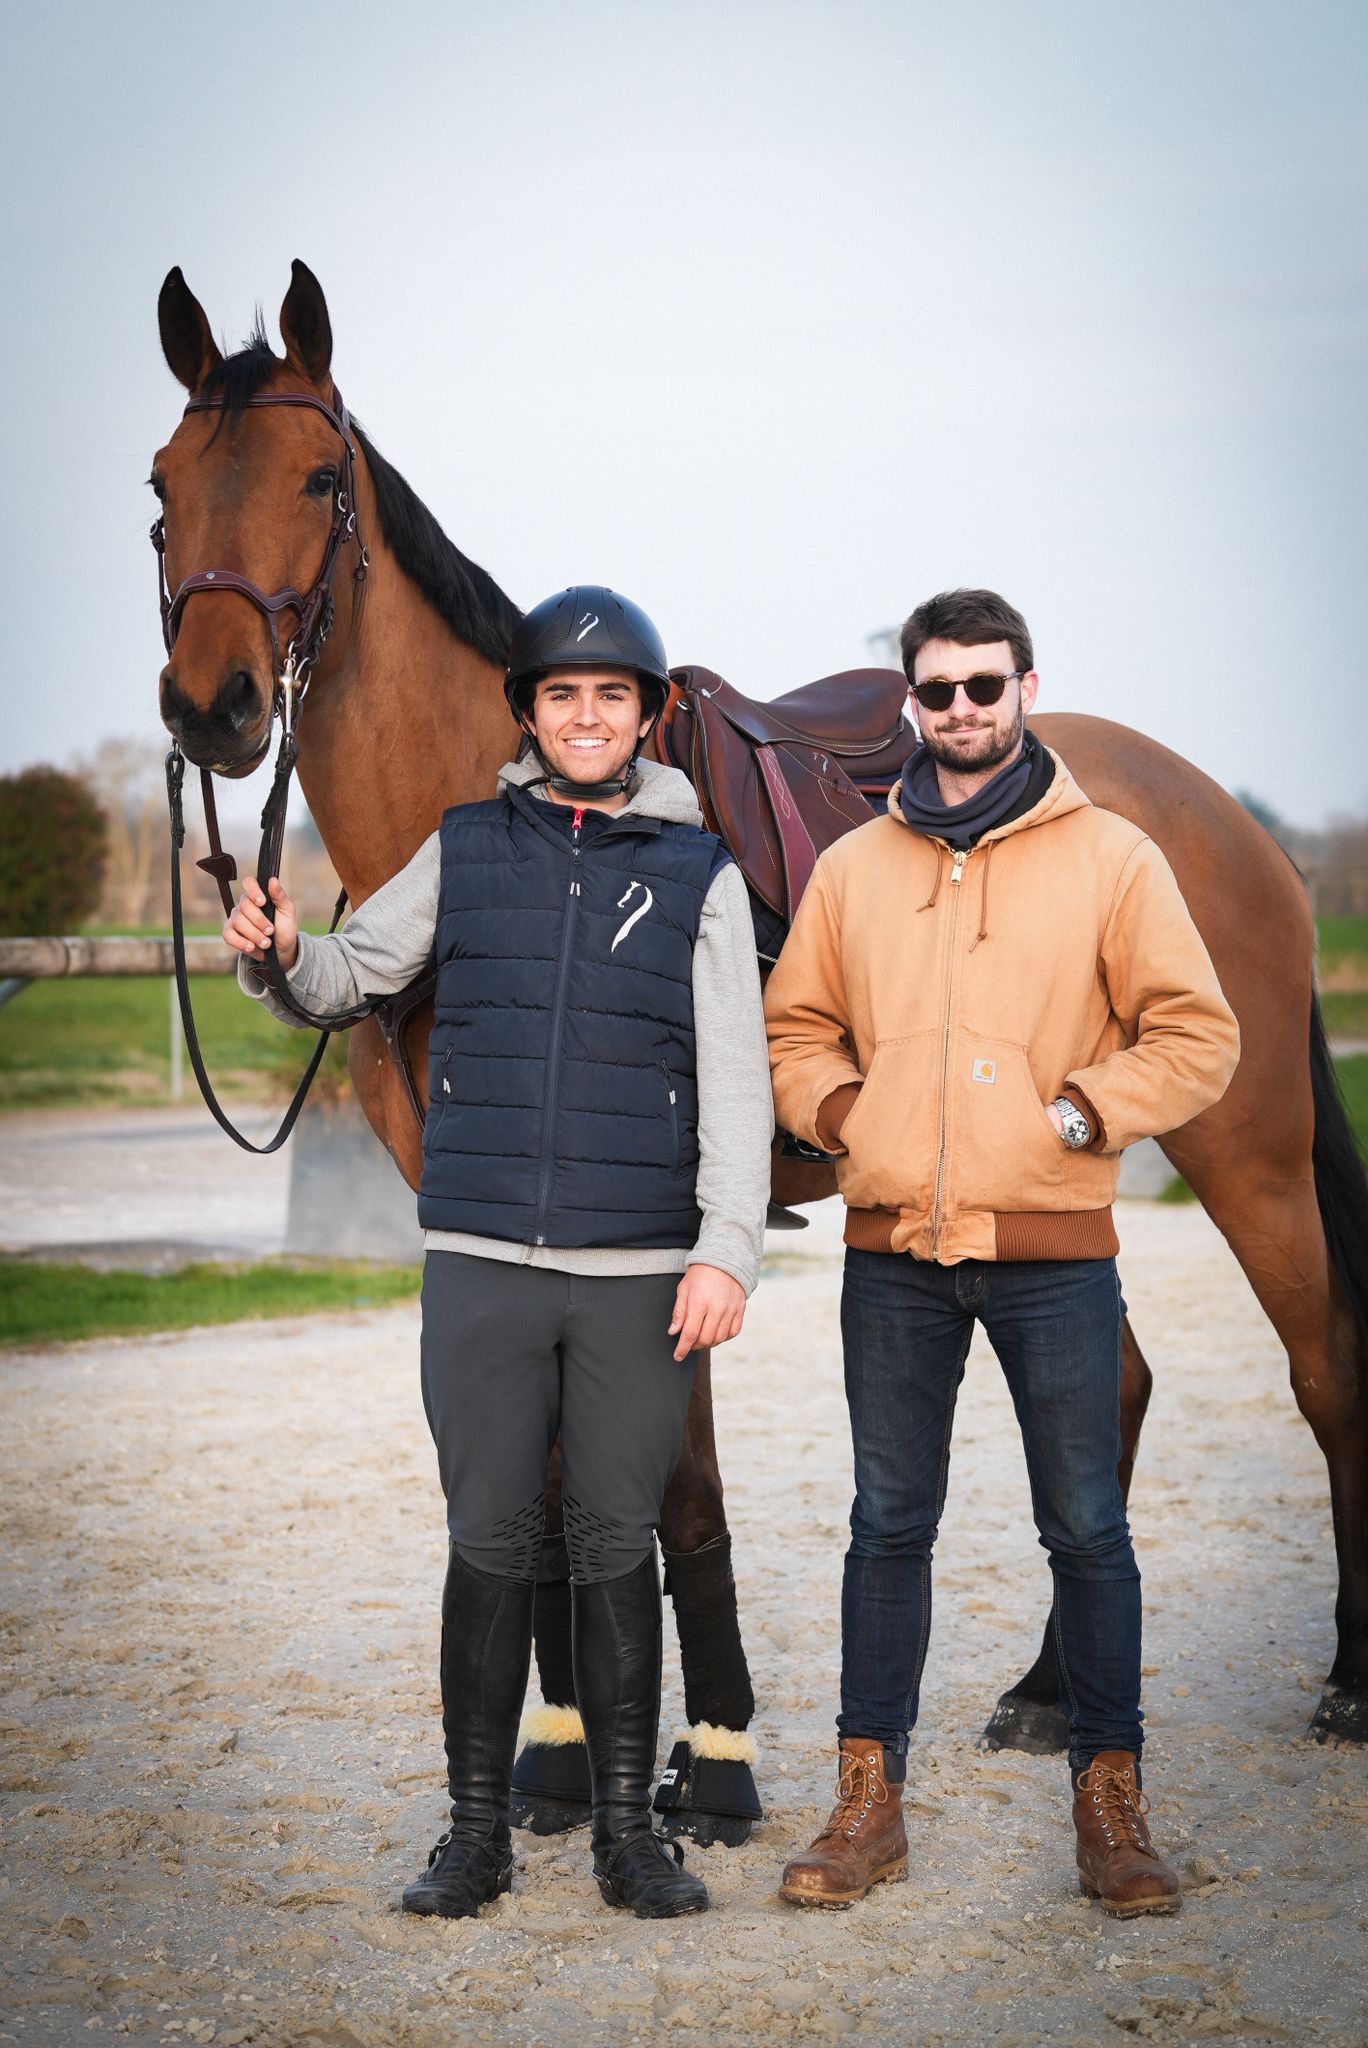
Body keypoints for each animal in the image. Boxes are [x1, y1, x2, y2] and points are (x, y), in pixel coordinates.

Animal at [151, 264, 1368, 1832]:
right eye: (164, 486)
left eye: (316, 478)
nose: (215, 704)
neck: (539, 839)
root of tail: (1226, 815)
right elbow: (554, 1488)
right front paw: (564, 1756)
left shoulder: (670, 1233)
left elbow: (676, 1492)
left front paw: (709, 1759)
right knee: (1111, 1391)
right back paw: (1050, 1692)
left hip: (1252, 1154)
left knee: (1327, 1371)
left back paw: (1347, 1679)